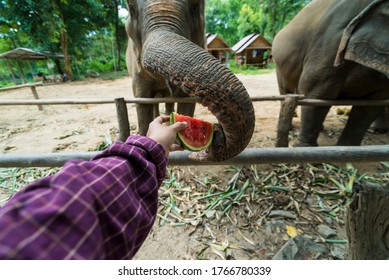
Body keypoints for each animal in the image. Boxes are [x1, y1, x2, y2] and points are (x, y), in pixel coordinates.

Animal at [124, 0, 255, 162]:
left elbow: (186, 102)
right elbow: (142, 102)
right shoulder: (136, 71)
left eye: (195, 5)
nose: (218, 130)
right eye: (131, 8)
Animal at [272, 0, 388, 148]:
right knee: (286, 90)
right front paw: (303, 149)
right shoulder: (331, 43)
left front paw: (346, 150)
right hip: (279, 66)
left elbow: (370, 105)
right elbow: (316, 92)